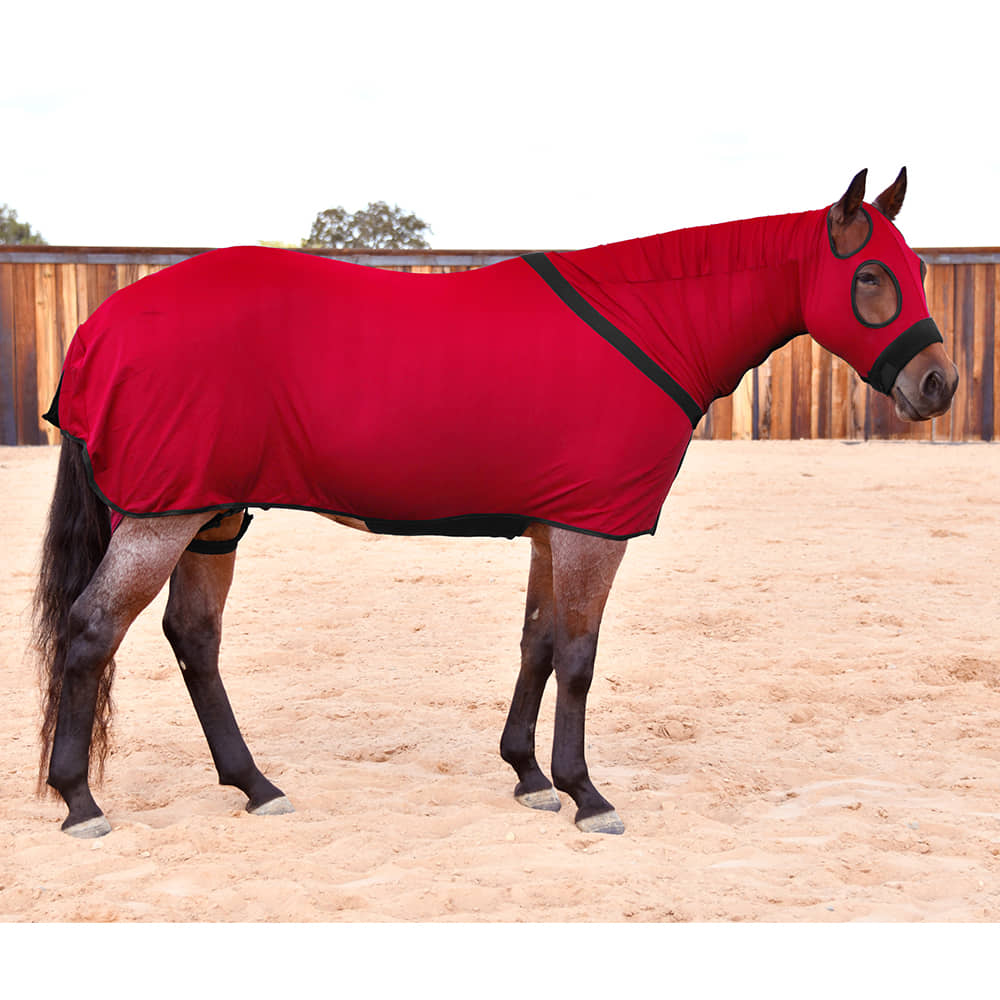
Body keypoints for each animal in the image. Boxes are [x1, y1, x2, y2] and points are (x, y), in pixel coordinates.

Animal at [33, 168, 958, 838]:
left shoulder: (556, 528)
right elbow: (578, 658)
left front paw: (529, 776)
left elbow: (537, 646)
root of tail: (102, 325)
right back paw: (80, 802)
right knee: (93, 631)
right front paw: (588, 794)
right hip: (165, 517)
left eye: (916, 269)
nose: (938, 385)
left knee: (194, 638)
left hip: (213, 517)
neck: (650, 319)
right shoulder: (592, 532)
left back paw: (256, 785)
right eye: (871, 275)